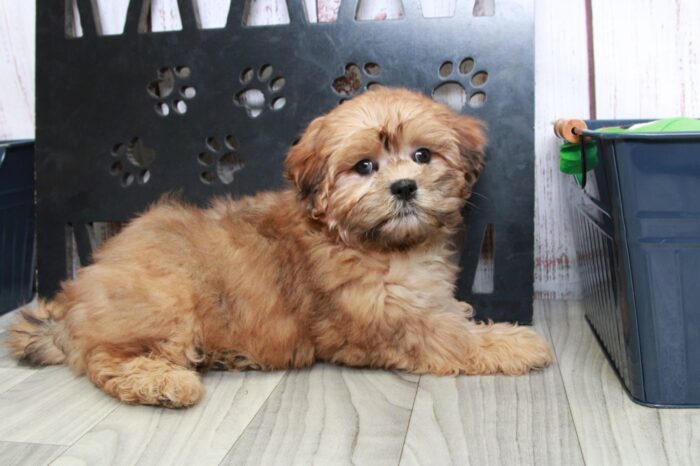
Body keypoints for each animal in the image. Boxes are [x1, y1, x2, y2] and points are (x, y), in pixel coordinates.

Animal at [6, 88, 552, 408]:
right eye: (364, 167)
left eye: (422, 155)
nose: (403, 187)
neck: (370, 241)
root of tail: (76, 298)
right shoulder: (387, 321)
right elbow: (452, 337)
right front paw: (515, 342)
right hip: (166, 302)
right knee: (105, 360)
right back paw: (164, 382)